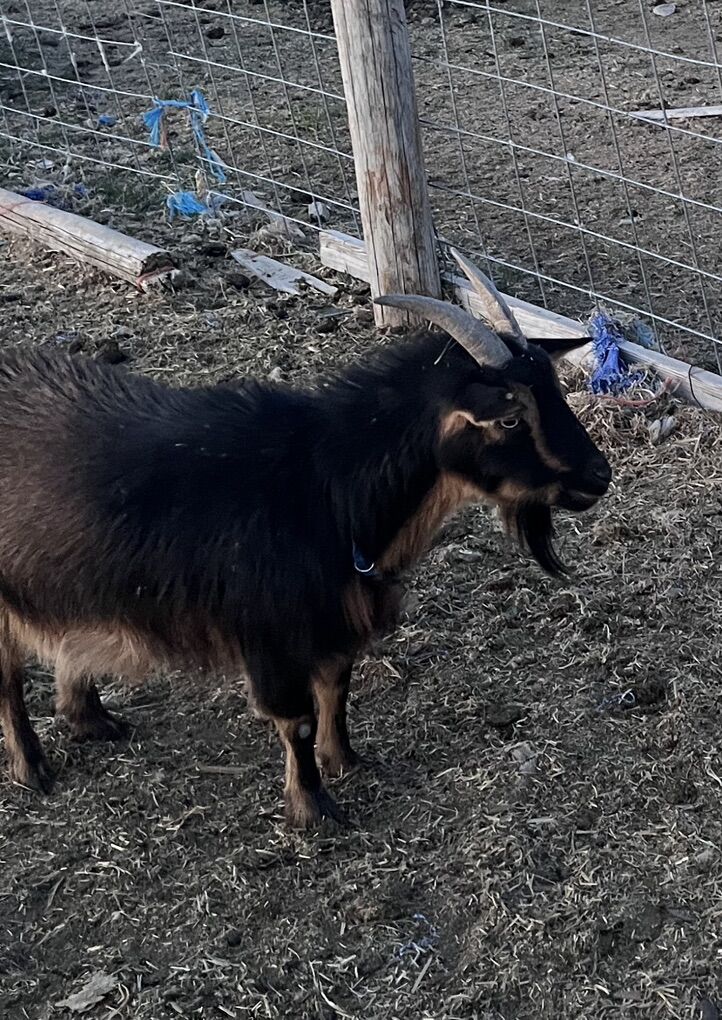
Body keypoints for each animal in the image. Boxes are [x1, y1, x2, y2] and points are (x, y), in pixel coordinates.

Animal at [0, 252, 610, 826]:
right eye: (510, 419)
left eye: (554, 391)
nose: (598, 476)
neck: (325, 485)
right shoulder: (270, 631)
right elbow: (295, 719)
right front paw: (313, 808)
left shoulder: (334, 620)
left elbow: (336, 688)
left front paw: (345, 760)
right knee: (7, 675)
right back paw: (32, 768)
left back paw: (90, 719)